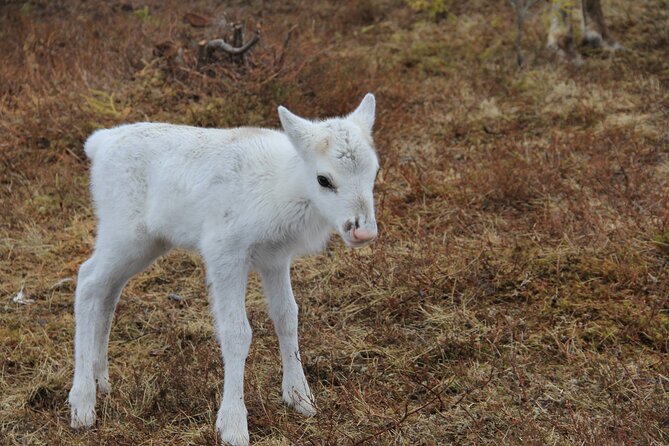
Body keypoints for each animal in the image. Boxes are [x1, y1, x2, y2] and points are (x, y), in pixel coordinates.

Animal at [68, 94, 380, 446]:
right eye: (324, 179)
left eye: (374, 172)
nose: (363, 232)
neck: (283, 188)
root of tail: (98, 143)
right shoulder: (224, 253)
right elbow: (236, 332)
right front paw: (232, 424)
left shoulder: (275, 258)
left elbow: (287, 316)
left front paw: (301, 397)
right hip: (122, 232)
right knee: (88, 280)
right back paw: (82, 403)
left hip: (146, 244)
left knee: (109, 291)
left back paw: (101, 380)